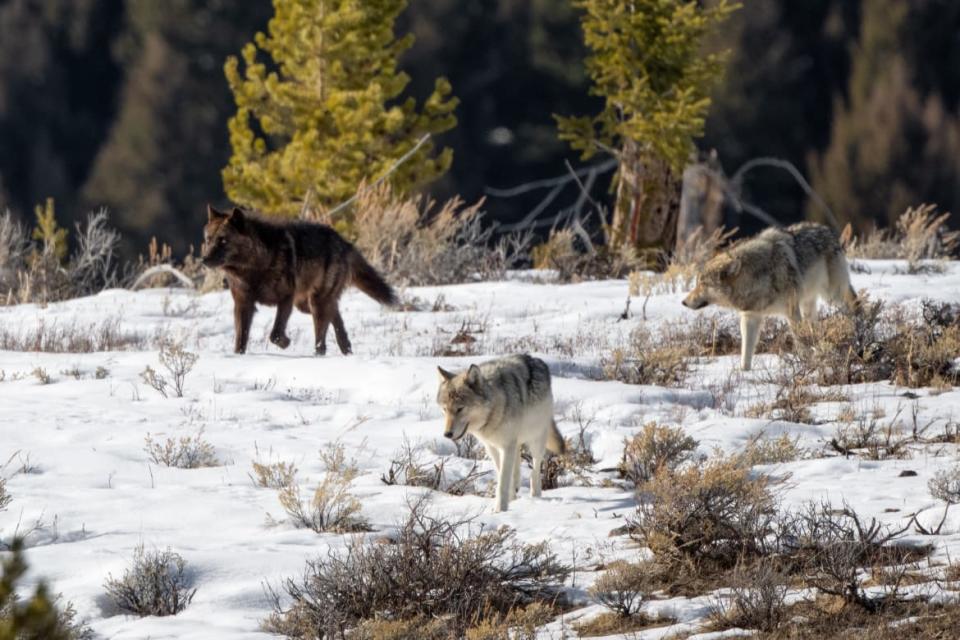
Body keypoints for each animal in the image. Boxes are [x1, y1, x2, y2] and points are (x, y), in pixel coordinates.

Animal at [202, 205, 398, 356]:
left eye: (223, 240)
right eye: (208, 239)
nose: (204, 260)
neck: (255, 267)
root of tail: (344, 243)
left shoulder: (286, 300)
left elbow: (275, 334)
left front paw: (286, 343)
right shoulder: (243, 304)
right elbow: (240, 339)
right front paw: (238, 357)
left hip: (315, 303)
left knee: (322, 340)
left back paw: (321, 356)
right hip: (307, 304)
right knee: (335, 316)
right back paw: (346, 349)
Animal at [436, 356, 564, 516]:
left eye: (460, 409)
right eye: (445, 409)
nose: (447, 434)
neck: (495, 407)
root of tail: (535, 359)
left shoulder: (506, 445)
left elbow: (503, 480)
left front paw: (500, 509)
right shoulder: (491, 446)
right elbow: (501, 473)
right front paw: (510, 498)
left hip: (536, 439)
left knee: (535, 470)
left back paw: (535, 495)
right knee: (517, 463)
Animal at [680, 222, 860, 370]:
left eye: (702, 284)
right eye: (697, 283)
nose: (683, 302)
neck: (756, 277)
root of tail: (828, 230)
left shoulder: (791, 312)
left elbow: (800, 342)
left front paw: (806, 363)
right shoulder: (750, 317)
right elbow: (746, 352)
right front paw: (743, 373)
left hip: (833, 296)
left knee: (856, 306)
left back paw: (859, 330)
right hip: (808, 306)